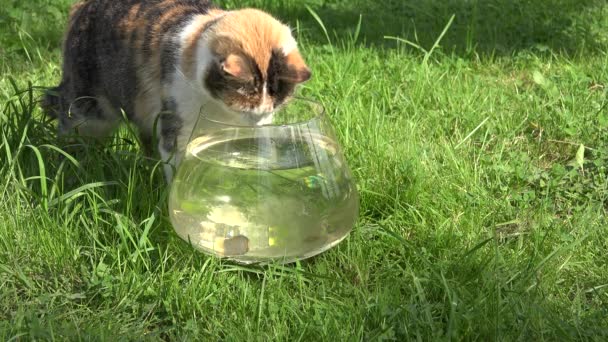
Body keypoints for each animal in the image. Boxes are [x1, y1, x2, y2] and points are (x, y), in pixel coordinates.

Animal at [41, 0, 314, 182]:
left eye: (274, 106)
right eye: (245, 104)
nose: (257, 119)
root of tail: (83, 6)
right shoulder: (177, 123)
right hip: (88, 110)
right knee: (69, 127)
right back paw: (67, 165)